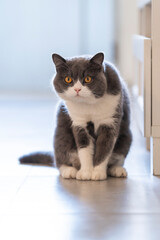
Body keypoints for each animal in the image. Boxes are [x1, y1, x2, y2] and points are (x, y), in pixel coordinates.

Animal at [19, 52, 132, 180]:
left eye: (88, 79)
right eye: (68, 79)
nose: (77, 89)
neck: (89, 105)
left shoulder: (109, 122)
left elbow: (104, 148)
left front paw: (98, 173)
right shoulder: (78, 123)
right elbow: (84, 148)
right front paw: (86, 172)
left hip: (127, 138)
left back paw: (117, 170)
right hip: (61, 137)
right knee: (59, 160)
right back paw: (69, 170)